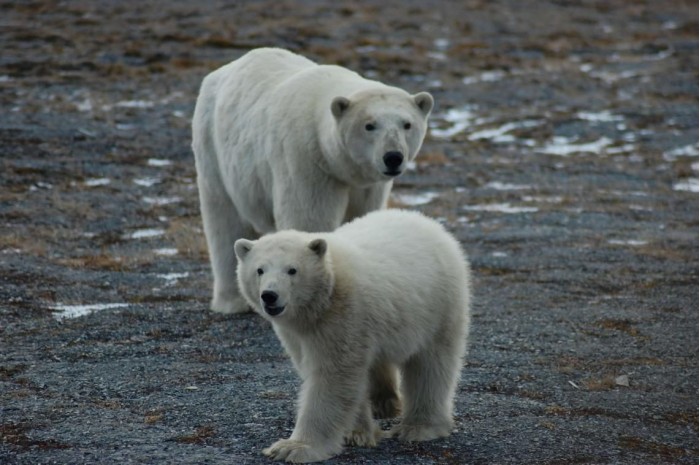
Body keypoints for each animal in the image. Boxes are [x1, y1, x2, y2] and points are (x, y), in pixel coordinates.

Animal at [190, 48, 432, 316]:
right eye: (369, 125)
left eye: (407, 124)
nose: (393, 157)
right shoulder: (307, 161)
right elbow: (309, 218)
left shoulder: (367, 185)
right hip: (213, 148)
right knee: (224, 220)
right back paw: (232, 302)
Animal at [234, 209, 470, 460]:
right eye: (259, 270)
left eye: (292, 270)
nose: (269, 295)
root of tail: (427, 222)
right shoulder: (298, 333)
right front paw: (357, 433)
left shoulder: (344, 315)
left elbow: (333, 376)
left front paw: (292, 448)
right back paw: (383, 403)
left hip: (439, 305)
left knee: (430, 364)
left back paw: (419, 427)